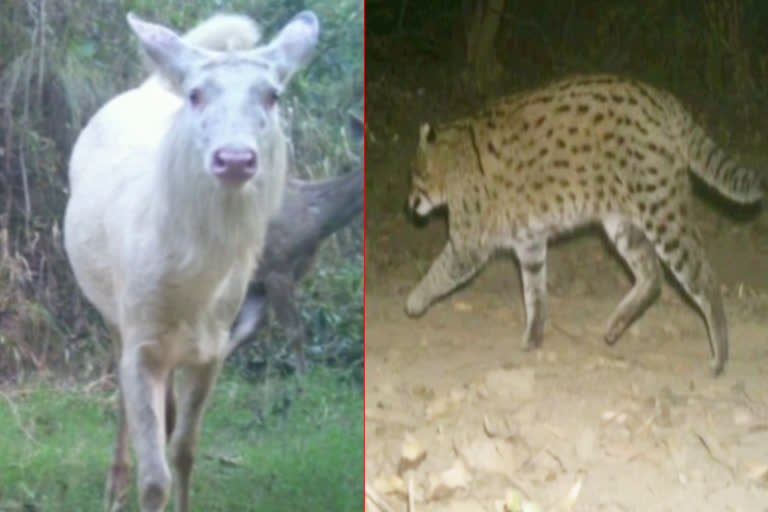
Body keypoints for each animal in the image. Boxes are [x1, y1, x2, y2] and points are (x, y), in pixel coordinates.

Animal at [62, 9, 320, 512]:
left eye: (273, 95)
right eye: (197, 95)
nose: (235, 159)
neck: (191, 288)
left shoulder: (215, 346)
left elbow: (185, 451)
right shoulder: (139, 336)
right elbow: (154, 478)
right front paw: (135, 485)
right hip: (111, 309)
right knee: (121, 394)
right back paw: (114, 486)